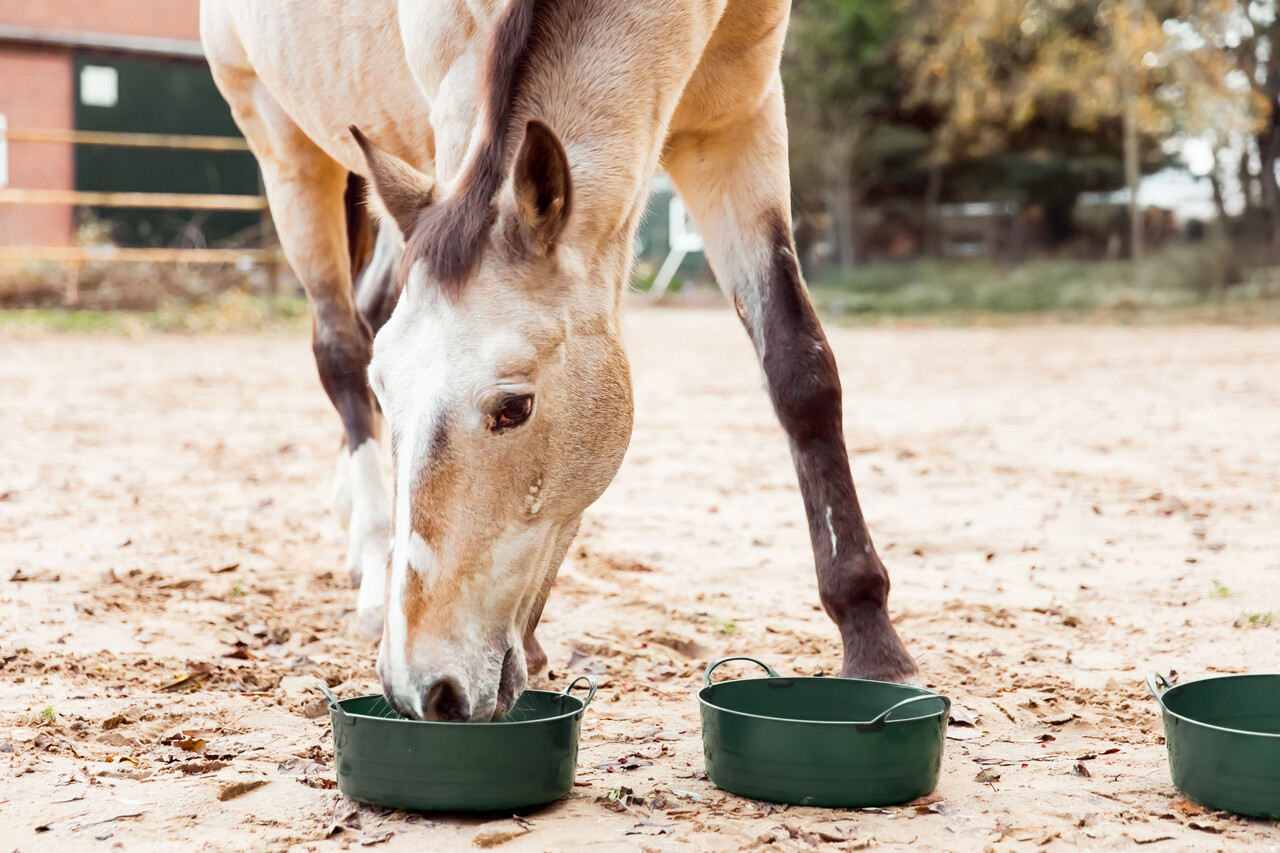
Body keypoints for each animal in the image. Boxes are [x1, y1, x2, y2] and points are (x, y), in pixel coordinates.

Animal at [201, 0, 917, 721]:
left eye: (514, 407)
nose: (420, 687)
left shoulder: (737, 125)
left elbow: (801, 370)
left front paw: (871, 637)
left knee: (370, 317)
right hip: (286, 153)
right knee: (340, 349)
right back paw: (376, 565)